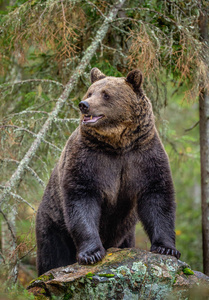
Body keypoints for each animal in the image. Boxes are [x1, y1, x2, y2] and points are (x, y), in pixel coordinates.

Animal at [35, 68, 180, 276]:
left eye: (106, 94)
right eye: (90, 92)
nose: (84, 105)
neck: (118, 145)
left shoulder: (143, 157)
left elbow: (157, 196)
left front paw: (166, 248)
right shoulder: (88, 160)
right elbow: (81, 199)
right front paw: (91, 254)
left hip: (126, 235)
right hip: (52, 223)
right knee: (52, 254)